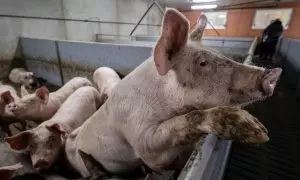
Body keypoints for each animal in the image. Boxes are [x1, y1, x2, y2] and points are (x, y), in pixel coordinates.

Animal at [63, 9, 282, 177]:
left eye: (218, 54)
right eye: (202, 63)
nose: (273, 73)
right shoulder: (140, 136)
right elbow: (171, 134)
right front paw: (258, 132)